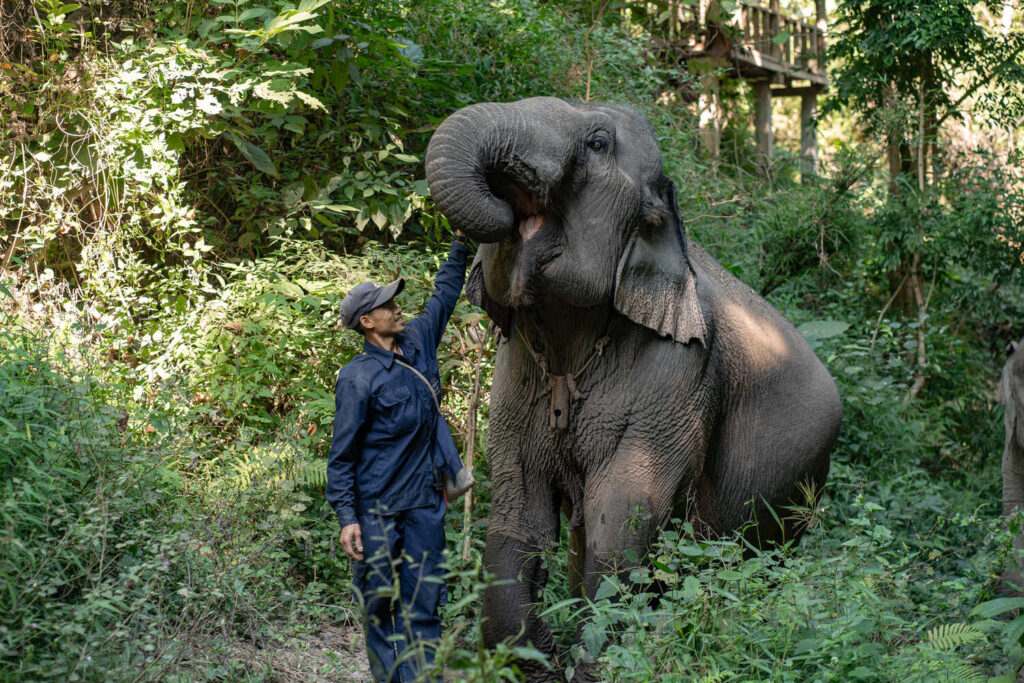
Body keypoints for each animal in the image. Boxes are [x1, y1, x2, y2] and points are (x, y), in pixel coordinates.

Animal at [424, 97, 842, 680]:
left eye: (598, 144)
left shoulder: (680, 373)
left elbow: (622, 520)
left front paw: (591, 661)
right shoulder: (518, 370)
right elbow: (518, 507)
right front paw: (542, 659)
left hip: (798, 487)